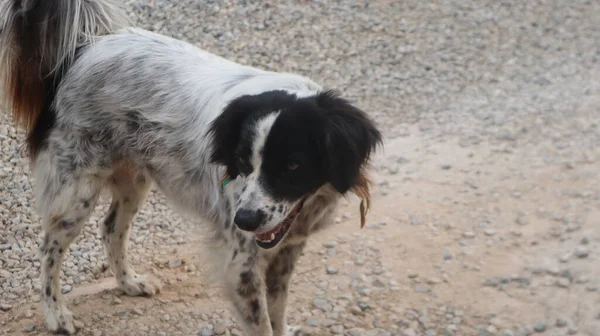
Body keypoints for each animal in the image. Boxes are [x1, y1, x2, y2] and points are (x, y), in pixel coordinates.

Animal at [1, 1, 380, 334]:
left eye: (292, 165)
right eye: (242, 162)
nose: (244, 221)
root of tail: (84, 48)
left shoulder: (285, 253)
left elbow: (278, 315)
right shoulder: (240, 263)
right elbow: (262, 324)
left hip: (134, 180)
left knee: (110, 229)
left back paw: (129, 282)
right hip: (75, 192)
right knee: (49, 249)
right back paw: (56, 315)